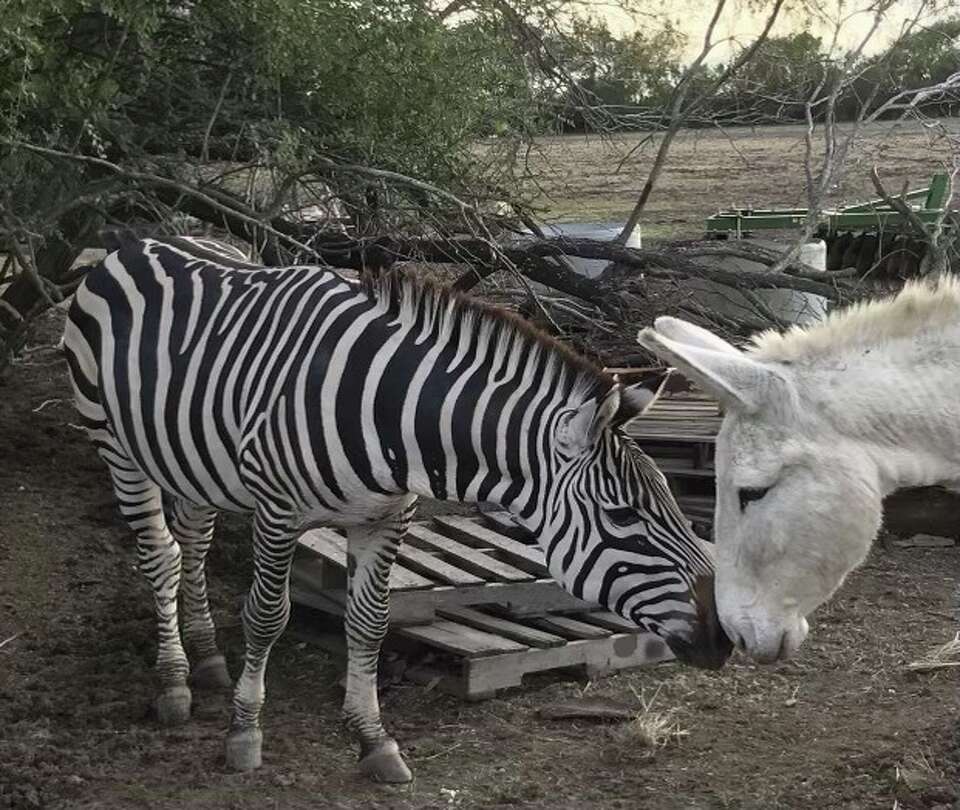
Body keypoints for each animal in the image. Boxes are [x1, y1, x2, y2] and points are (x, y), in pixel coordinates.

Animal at [62, 236, 731, 782]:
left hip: (195, 460)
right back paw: (174, 681)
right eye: (622, 517)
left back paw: (205, 658)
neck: (395, 420)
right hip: (117, 447)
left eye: (669, 498)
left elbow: (371, 623)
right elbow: (267, 617)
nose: (724, 637)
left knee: (193, 544)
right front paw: (245, 733)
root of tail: (134, 241)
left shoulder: (388, 517)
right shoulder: (277, 510)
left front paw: (374, 740)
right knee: (162, 556)